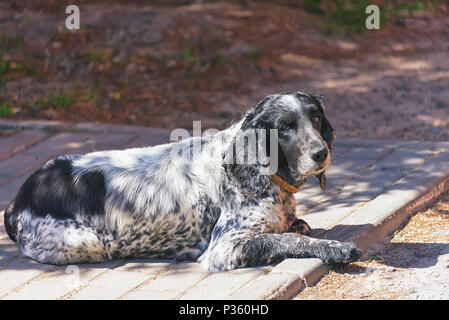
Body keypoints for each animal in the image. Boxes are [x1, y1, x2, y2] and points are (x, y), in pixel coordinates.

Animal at [3, 91, 360, 272]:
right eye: (284, 127)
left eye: (316, 117)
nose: (321, 153)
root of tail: (17, 201)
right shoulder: (225, 248)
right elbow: (287, 239)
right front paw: (336, 248)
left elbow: (296, 228)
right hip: (86, 243)